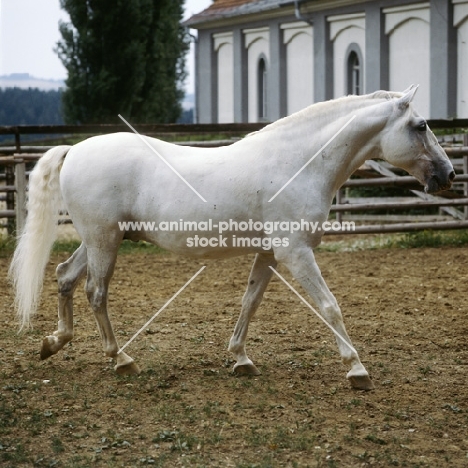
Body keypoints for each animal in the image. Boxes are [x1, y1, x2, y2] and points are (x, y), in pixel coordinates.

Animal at [7, 86, 454, 390]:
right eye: (421, 126)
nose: (448, 174)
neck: (298, 163)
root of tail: (75, 149)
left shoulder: (270, 254)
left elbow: (249, 302)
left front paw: (240, 358)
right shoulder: (296, 253)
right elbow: (330, 307)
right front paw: (357, 368)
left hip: (99, 240)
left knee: (65, 276)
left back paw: (55, 342)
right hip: (105, 242)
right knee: (95, 293)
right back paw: (122, 359)